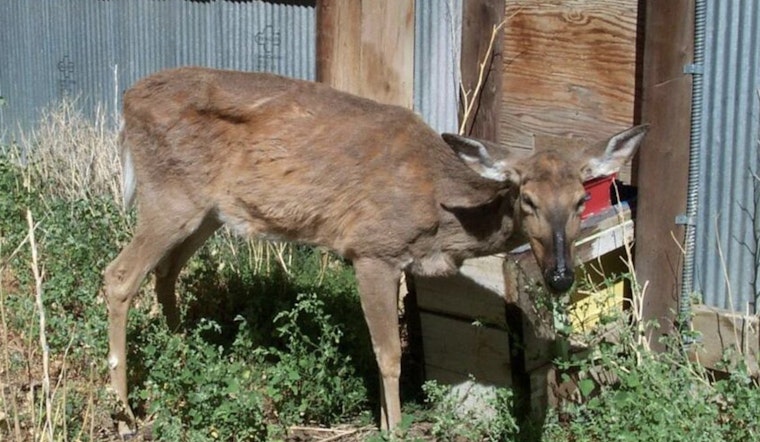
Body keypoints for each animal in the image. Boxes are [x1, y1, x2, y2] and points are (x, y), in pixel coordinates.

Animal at [102, 66, 648, 436]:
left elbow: (381, 347)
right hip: (169, 196)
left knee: (165, 273)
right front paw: (395, 428)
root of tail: (126, 102)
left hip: (207, 212)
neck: (440, 212)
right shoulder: (371, 250)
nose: (560, 276)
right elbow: (389, 354)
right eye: (527, 199)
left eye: (581, 200)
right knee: (119, 276)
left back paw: (182, 356)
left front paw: (387, 422)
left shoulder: (397, 260)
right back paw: (126, 412)